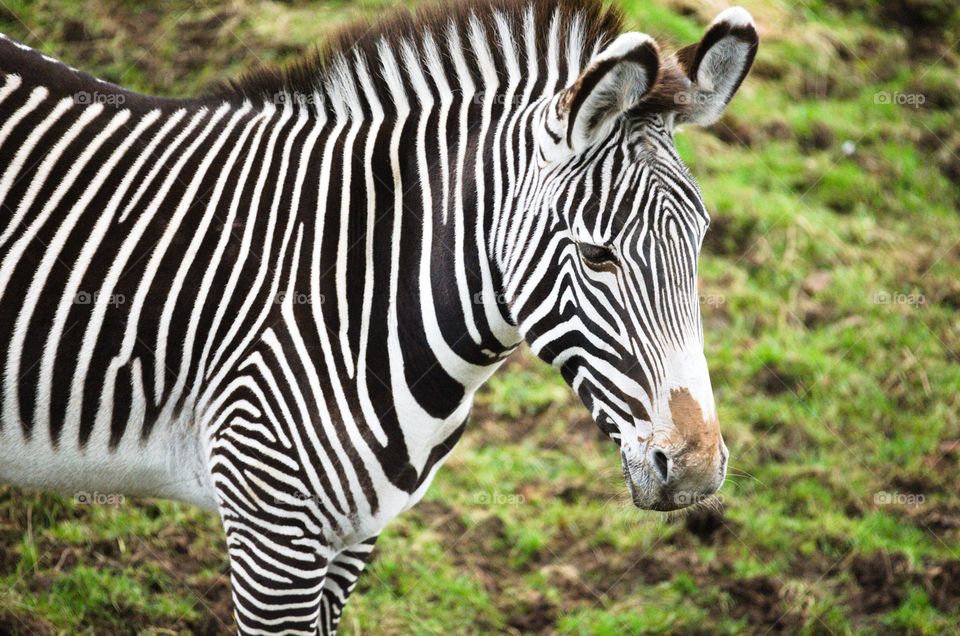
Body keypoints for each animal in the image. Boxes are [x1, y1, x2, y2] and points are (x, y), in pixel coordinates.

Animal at [0, 0, 758, 632]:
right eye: (598, 255)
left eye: (700, 240)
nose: (696, 472)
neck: (359, 291)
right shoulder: (272, 532)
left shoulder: (351, 536)